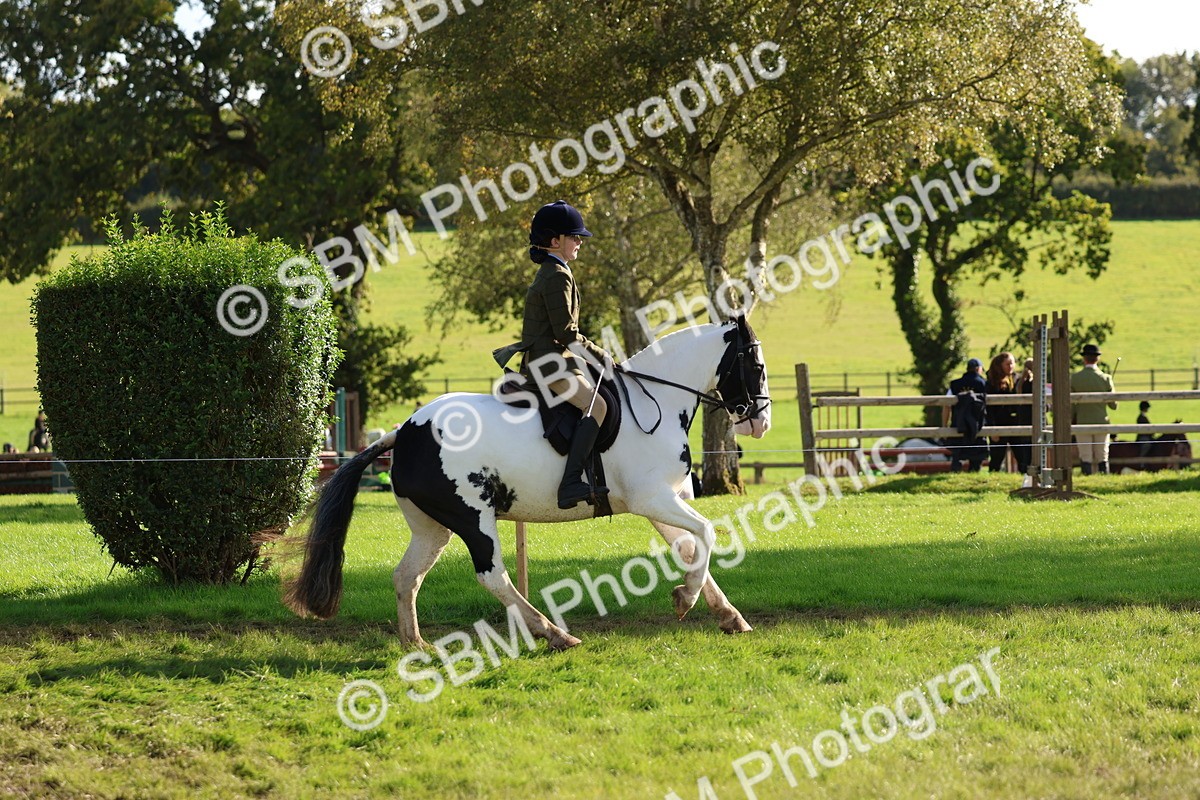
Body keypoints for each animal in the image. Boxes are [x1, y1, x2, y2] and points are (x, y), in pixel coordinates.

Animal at [283, 315, 772, 650]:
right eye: (756, 364)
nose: (761, 422)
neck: (657, 401)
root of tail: (403, 432)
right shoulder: (652, 499)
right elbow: (706, 534)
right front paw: (686, 600)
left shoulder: (663, 502)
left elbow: (691, 548)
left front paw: (725, 614)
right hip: (473, 517)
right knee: (493, 575)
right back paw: (552, 633)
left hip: (432, 526)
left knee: (407, 576)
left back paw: (415, 643)